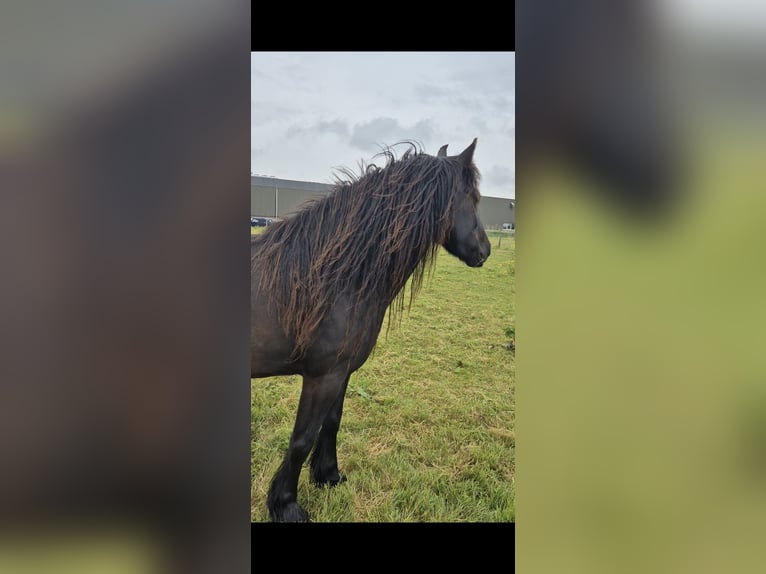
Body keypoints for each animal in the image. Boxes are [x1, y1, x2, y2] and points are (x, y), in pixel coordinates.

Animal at [251, 139, 491, 522]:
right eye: (474, 197)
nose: (486, 250)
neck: (329, 278)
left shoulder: (341, 372)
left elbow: (332, 421)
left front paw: (328, 475)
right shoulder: (322, 377)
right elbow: (301, 439)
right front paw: (286, 505)